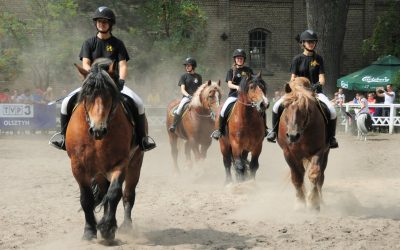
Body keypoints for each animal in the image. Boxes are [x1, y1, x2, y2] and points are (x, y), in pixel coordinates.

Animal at [66, 58, 145, 240]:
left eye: (110, 95)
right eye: (87, 94)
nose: (98, 130)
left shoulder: (121, 163)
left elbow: (114, 193)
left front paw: (107, 228)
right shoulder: (77, 166)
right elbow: (86, 198)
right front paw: (89, 231)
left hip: (135, 164)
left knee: (128, 195)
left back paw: (126, 226)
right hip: (100, 172)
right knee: (103, 193)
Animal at [278, 76, 332, 211]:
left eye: (305, 110)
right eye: (285, 106)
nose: (292, 136)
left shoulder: (318, 151)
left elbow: (314, 174)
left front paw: (313, 202)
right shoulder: (288, 153)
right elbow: (297, 177)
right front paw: (300, 203)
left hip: (325, 154)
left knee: (320, 177)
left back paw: (319, 199)